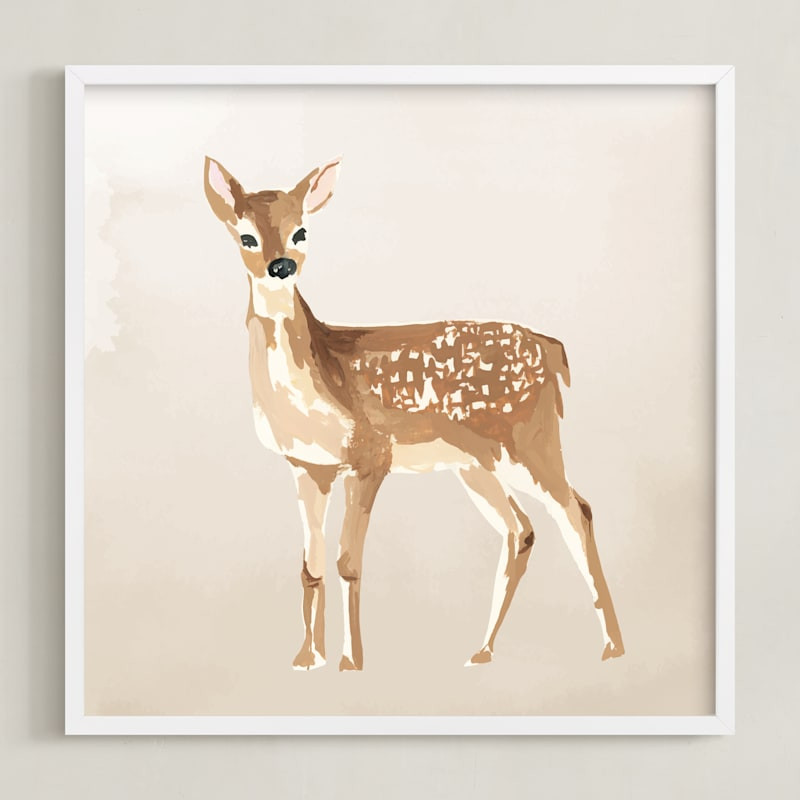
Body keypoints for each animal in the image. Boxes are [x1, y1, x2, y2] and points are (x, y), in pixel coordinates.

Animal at [203, 155, 625, 672]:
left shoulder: (370, 455)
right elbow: (310, 565)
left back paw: (612, 647)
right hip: (477, 464)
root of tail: (553, 350)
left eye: (301, 231)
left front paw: (351, 662)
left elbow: (348, 562)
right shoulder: (306, 466)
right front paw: (306, 658)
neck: (319, 375)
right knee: (520, 529)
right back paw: (482, 651)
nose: (281, 265)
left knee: (575, 509)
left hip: (529, 440)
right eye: (245, 236)